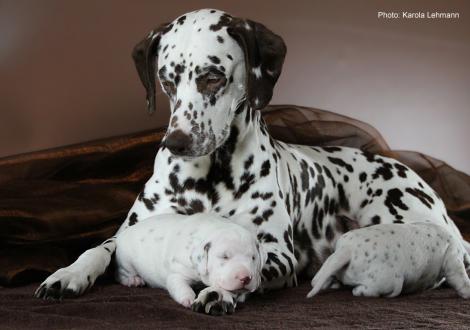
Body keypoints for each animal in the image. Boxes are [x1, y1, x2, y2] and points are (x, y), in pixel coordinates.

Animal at [114, 213, 264, 314]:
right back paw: (133, 280)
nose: (246, 278)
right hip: (125, 261)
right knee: (121, 273)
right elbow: (180, 284)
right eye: (225, 257)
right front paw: (188, 299)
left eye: (253, 258)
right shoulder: (177, 272)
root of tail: (121, 235)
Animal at [306, 223, 470, 298]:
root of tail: (348, 250)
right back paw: (356, 290)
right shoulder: (453, 260)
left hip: (333, 261)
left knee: (318, 278)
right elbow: (462, 279)